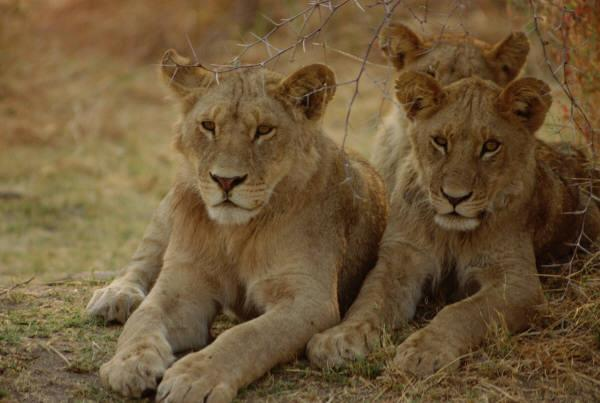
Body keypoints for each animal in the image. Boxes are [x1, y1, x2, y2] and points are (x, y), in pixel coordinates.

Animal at [89, 49, 390, 402]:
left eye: (264, 130)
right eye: (208, 126)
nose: (226, 180)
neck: (235, 232)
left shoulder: (310, 300)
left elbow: (247, 335)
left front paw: (194, 378)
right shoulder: (183, 284)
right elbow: (144, 319)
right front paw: (129, 364)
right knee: (142, 261)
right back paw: (115, 296)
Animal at [310, 71, 600, 378]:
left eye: (491, 146)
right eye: (440, 141)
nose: (454, 197)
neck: (452, 234)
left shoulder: (518, 283)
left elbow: (462, 312)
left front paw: (425, 351)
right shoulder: (400, 259)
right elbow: (370, 300)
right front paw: (338, 338)